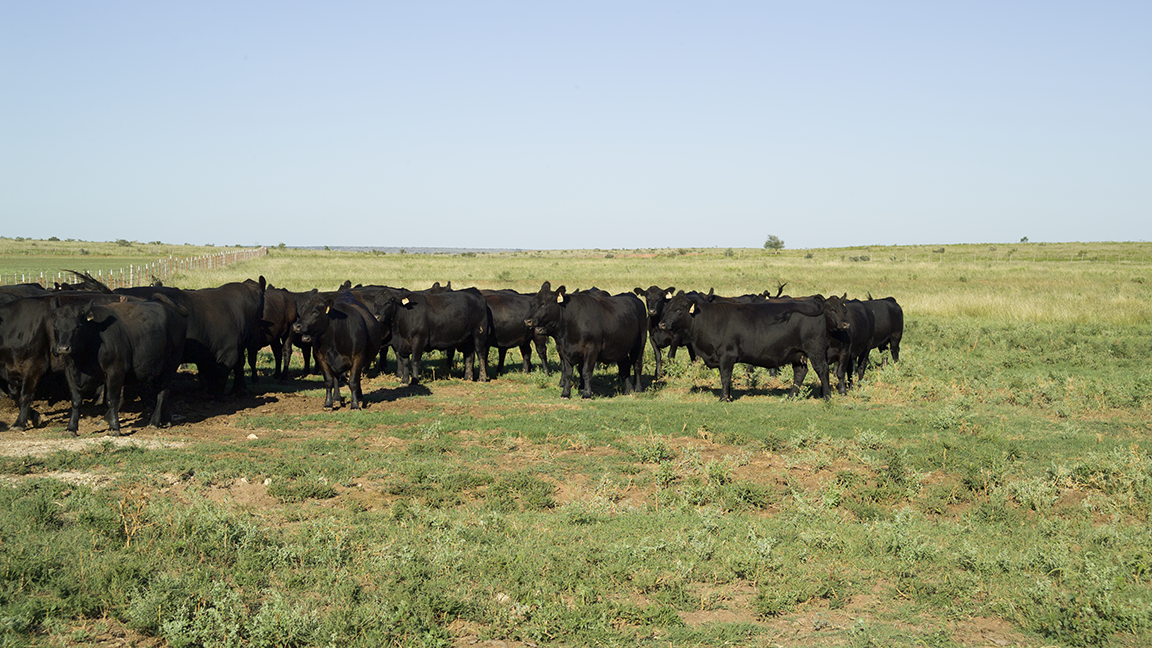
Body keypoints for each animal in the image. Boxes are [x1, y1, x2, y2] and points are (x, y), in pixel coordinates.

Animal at [48, 294, 188, 435]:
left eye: (78, 326)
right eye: (55, 326)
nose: (63, 348)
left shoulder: (115, 370)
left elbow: (112, 400)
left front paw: (114, 427)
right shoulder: (69, 371)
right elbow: (76, 400)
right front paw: (71, 428)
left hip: (170, 366)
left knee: (162, 393)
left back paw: (154, 422)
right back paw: (167, 420)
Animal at [656, 291, 847, 402]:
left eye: (679, 309)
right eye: (668, 307)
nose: (662, 324)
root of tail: (812, 303)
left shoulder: (727, 355)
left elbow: (725, 377)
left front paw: (724, 398)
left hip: (814, 349)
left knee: (822, 370)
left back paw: (827, 397)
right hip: (797, 354)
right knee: (800, 373)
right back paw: (790, 397)